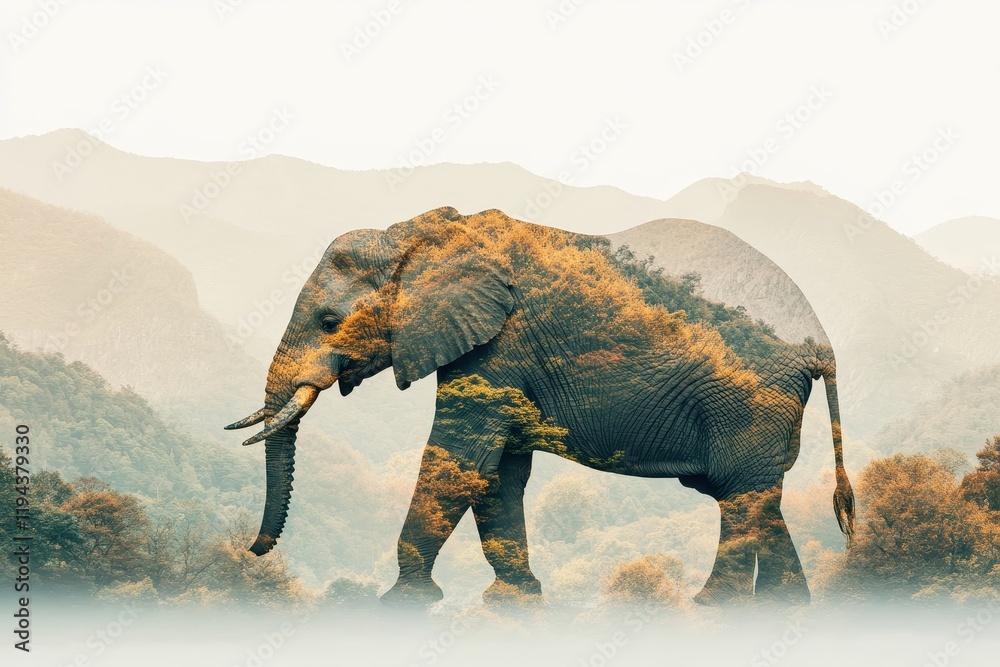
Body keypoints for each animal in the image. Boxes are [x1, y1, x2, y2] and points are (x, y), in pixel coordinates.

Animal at [226, 206, 855, 606]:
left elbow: (461, 459)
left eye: (330, 322)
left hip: (747, 399)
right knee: (758, 496)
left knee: (740, 497)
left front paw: (401, 602)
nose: (253, 551)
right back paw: (783, 609)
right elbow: (500, 470)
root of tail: (821, 341)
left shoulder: (496, 347)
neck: (419, 236)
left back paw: (713, 607)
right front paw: (515, 599)